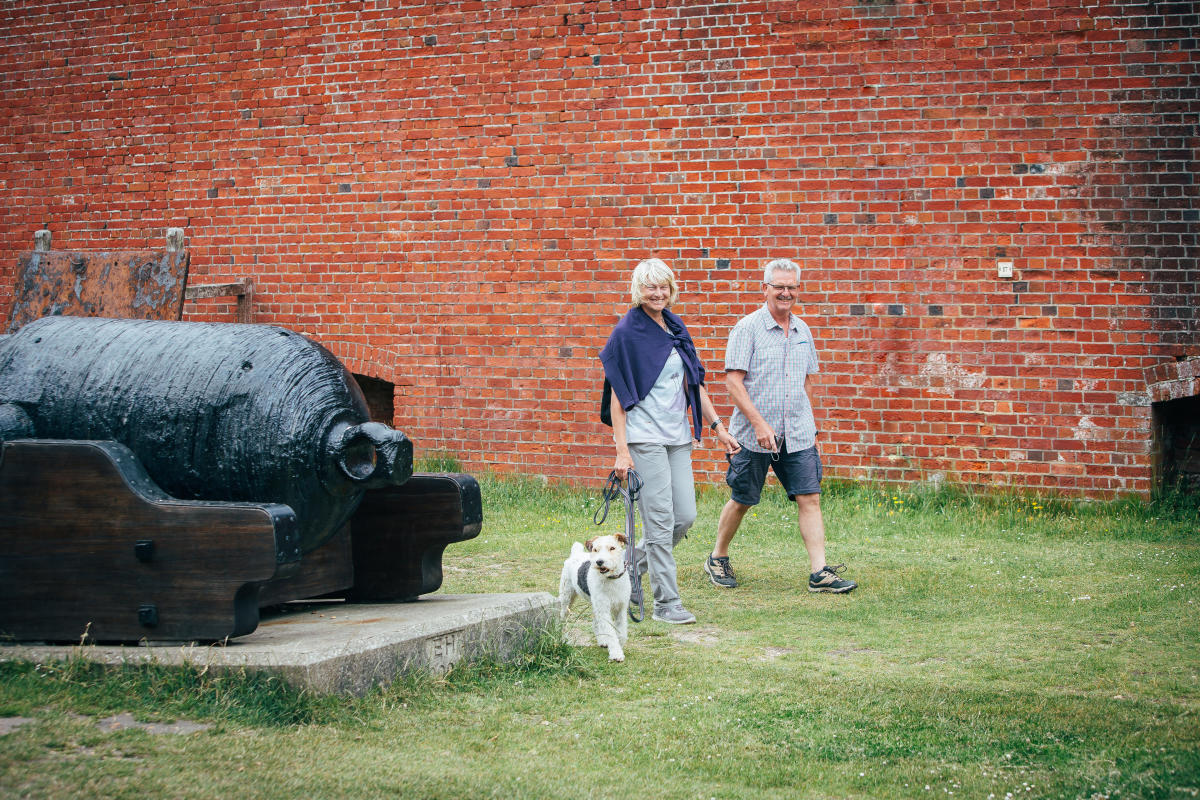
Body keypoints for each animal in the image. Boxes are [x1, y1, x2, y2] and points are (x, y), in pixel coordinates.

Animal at [561, 532, 638, 662]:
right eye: (595, 549)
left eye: (612, 548)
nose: (599, 562)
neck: (611, 579)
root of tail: (576, 553)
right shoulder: (604, 609)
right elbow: (611, 633)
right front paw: (616, 653)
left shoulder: (620, 608)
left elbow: (621, 631)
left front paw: (619, 644)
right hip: (567, 598)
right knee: (563, 618)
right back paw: (562, 638)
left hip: (595, 604)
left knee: (596, 623)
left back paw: (602, 641)